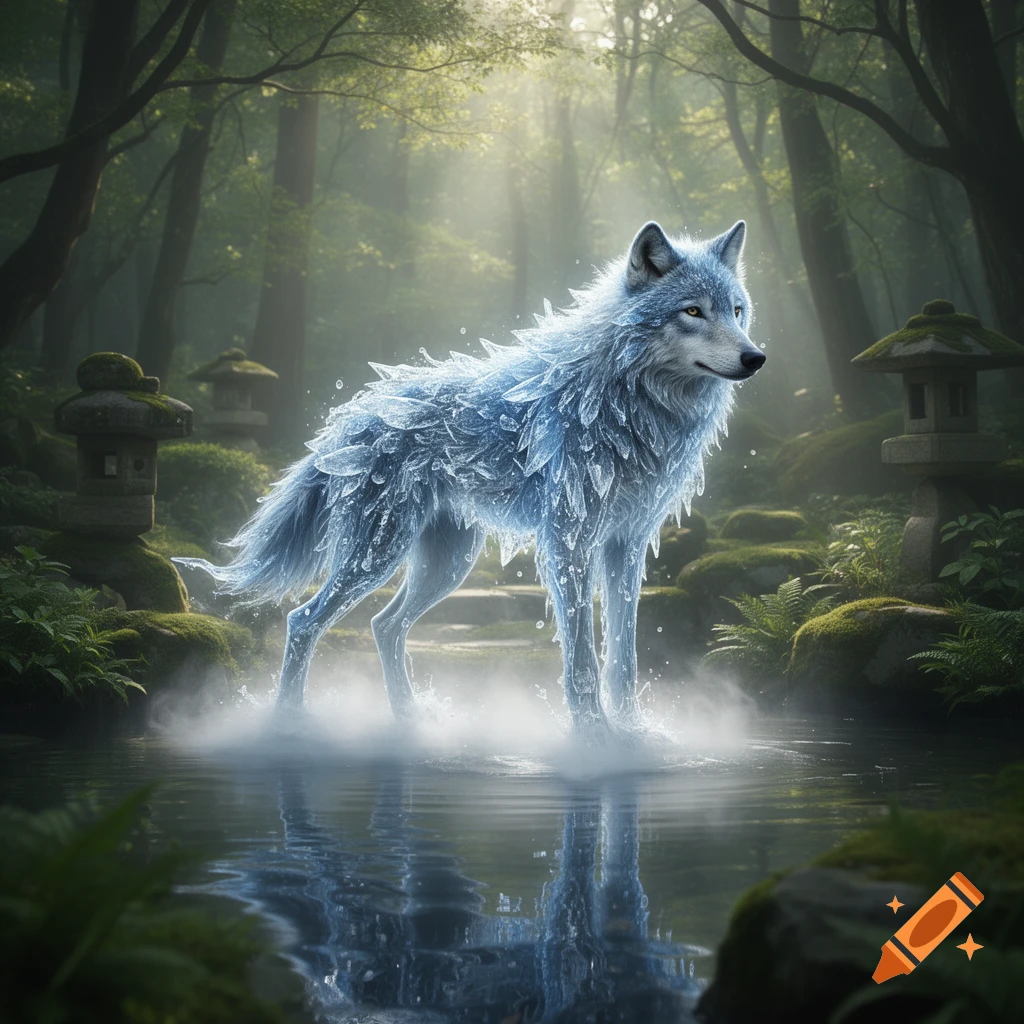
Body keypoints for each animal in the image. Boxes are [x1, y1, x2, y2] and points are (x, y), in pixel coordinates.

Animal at [178, 220, 765, 733]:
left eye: (737, 311)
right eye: (693, 311)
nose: (755, 357)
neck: (629, 400)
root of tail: (352, 416)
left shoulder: (627, 543)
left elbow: (624, 657)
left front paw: (634, 733)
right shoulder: (569, 540)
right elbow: (581, 659)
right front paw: (593, 735)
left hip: (447, 564)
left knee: (383, 625)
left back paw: (410, 719)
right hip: (380, 555)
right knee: (304, 620)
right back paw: (288, 726)